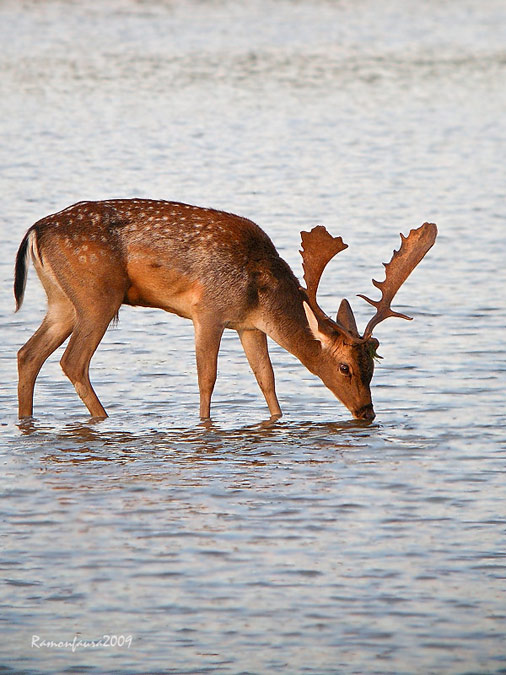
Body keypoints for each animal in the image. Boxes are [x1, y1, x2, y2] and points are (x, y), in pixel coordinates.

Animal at [13, 198, 436, 422]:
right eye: (345, 367)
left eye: (372, 367)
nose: (367, 412)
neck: (260, 292)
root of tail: (35, 230)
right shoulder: (208, 311)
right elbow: (207, 377)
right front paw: (204, 424)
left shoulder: (249, 326)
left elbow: (266, 379)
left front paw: (277, 420)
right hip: (97, 296)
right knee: (72, 361)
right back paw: (104, 419)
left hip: (62, 302)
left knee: (28, 353)